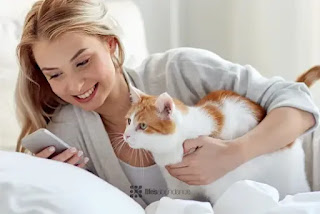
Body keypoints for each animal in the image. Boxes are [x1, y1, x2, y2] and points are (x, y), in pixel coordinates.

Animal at [123, 65, 320, 204]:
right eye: (129, 121)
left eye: (142, 125)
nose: (125, 136)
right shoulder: (178, 189)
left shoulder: (221, 188)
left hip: (291, 180)